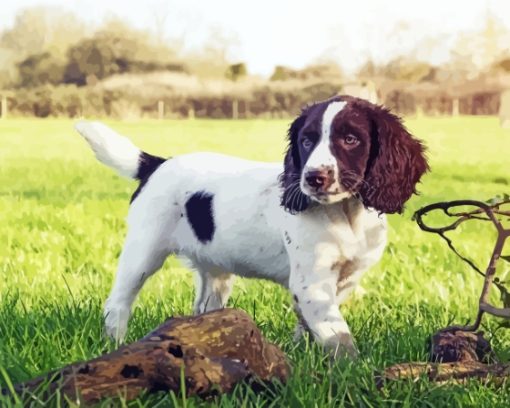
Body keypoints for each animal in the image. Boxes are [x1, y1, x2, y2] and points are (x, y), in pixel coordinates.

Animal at [74, 95, 426, 356]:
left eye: (351, 139)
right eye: (306, 141)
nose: (313, 178)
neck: (345, 213)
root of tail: (156, 163)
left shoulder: (345, 279)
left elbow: (314, 324)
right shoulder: (311, 282)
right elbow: (337, 333)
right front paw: (349, 368)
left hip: (214, 271)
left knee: (204, 307)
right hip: (144, 250)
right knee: (118, 302)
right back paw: (116, 345)